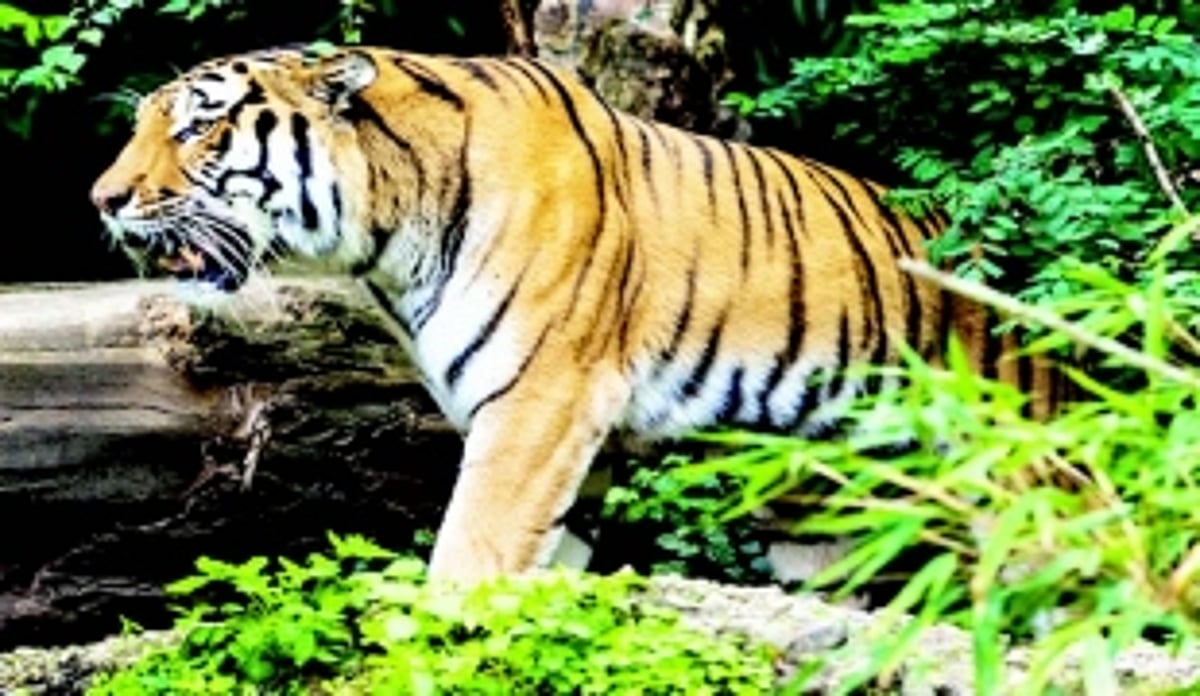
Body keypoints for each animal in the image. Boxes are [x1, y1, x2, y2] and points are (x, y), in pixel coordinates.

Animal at [90, 44, 1065, 584]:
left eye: (198, 129)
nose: (101, 199)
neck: (386, 242)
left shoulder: (541, 402)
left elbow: (470, 553)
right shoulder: (569, 440)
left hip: (1025, 484)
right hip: (820, 514)